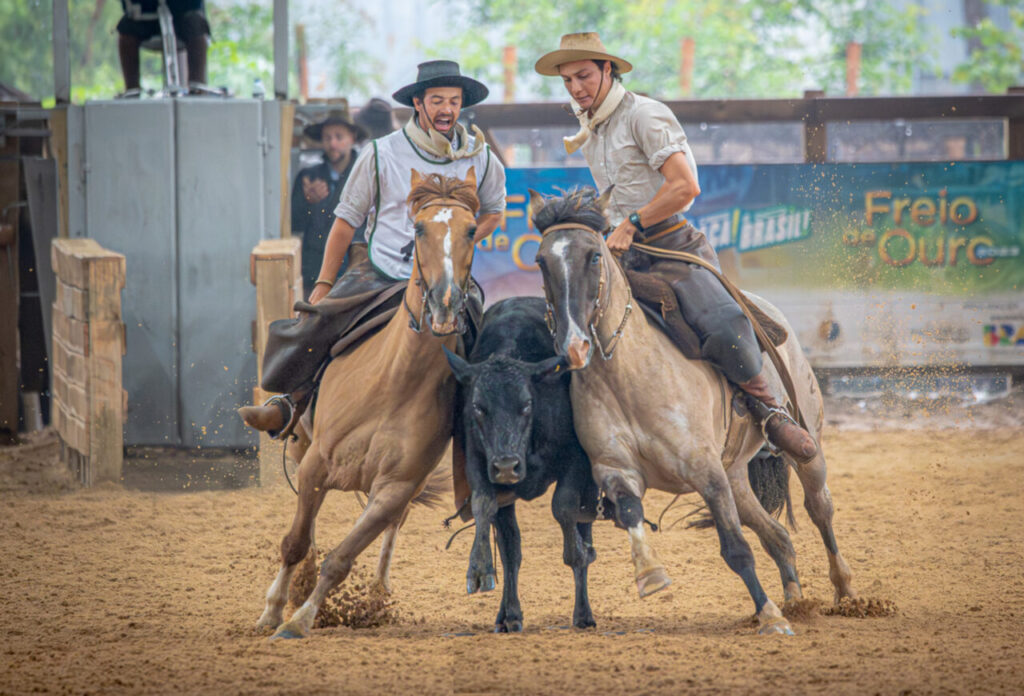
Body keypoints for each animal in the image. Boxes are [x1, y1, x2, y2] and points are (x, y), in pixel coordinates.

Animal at [253, 166, 481, 634]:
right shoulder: (317, 463)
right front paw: (273, 610)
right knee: (307, 525)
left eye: (472, 230)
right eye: (419, 227)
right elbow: (295, 541)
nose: (445, 302)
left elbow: (343, 558)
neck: (393, 382)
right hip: (302, 444)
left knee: (392, 528)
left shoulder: (396, 487)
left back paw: (377, 592)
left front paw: (301, 619)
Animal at [442, 296, 598, 634]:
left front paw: (578, 553)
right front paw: (479, 569)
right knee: (510, 547)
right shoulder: (478, 461)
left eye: (526, 404)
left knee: (583, 522)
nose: (506, 466)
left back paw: (583, 611)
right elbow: (485, 508)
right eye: (478, 407)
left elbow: (564, 508)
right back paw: (509, 614)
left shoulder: (575, 460)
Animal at [528, 187, 856, 634]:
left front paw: (770, 617)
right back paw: (794, 600)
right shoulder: (616, 469)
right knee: (776, 536)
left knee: (819, 508)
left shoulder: (706, 471)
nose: (574, 346)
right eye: (541, 261)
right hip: (736, 473)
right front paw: (650, 574)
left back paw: (845, 593)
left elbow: (735, 549)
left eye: (594, 256)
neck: (627, 375)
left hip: (808, 446)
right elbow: (632, 514)